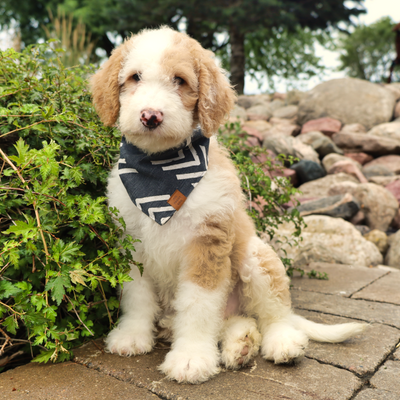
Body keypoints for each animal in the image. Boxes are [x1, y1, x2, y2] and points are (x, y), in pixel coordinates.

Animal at [90, 26, 366, 382]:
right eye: (134, 77)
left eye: (179, 80)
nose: (150, 116)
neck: (160, 170)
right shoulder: (132, 245)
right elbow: (136, 297)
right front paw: (131, 336)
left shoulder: (208, 243)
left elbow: (198, 305)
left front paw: (191, 358)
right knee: (237, 321)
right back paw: (240, 344)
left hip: (255, 258)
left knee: (274, 314)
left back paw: (282, 343)